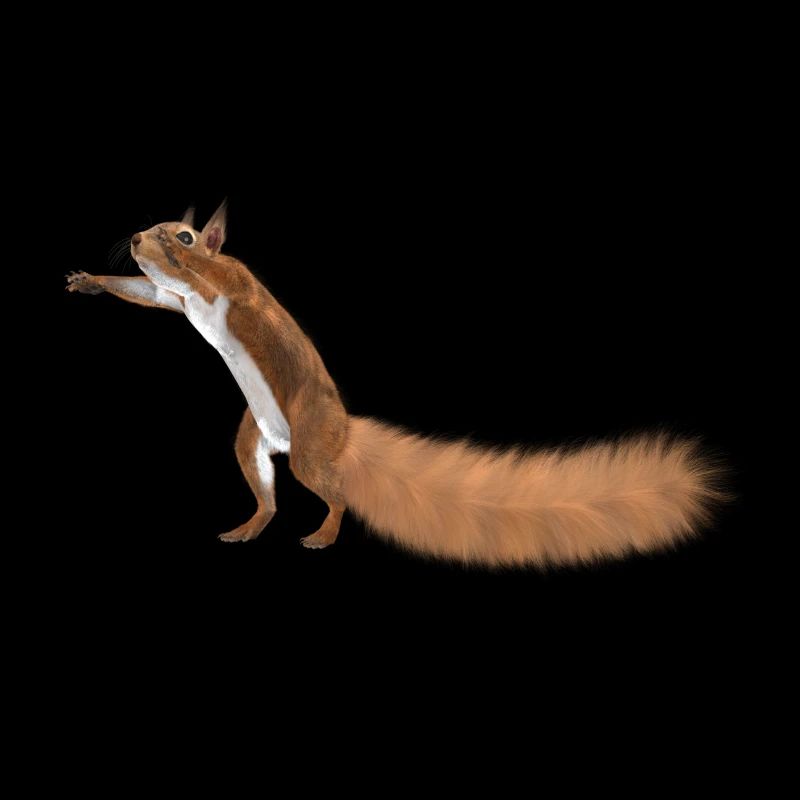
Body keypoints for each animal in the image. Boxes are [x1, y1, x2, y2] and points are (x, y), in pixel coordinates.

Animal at [66, 202, 724, 567]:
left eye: (182, 235)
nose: (136, 238)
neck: (204, 292)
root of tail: (343, 436)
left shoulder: (236, 288)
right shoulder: (176, 300)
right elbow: (151, 294)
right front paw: (92, 280)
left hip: (309, 448)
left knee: (335, 497)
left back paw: (323, 536)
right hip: (251, 441)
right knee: (269, 498)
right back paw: (246, 528)